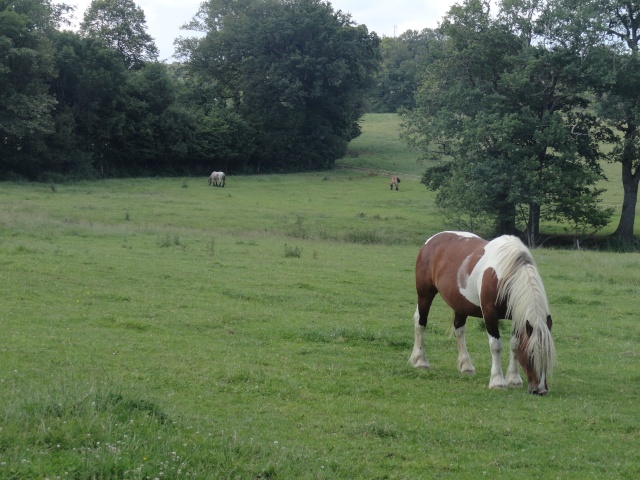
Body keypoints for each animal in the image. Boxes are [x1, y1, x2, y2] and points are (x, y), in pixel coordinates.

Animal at [410, 232, 556, 394]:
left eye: (548, 355)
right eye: (531, 355)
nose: (541, 390)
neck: (504, 274)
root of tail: (431, 241)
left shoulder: (518, 317)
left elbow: (515, 344)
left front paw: (514, 379)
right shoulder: (489, 313)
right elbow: (496, 345)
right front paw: (498, 381)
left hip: (460, 304)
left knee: (459, 330)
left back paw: (466, 366)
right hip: (425, 294)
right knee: (420, 323)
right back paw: (420, 361)